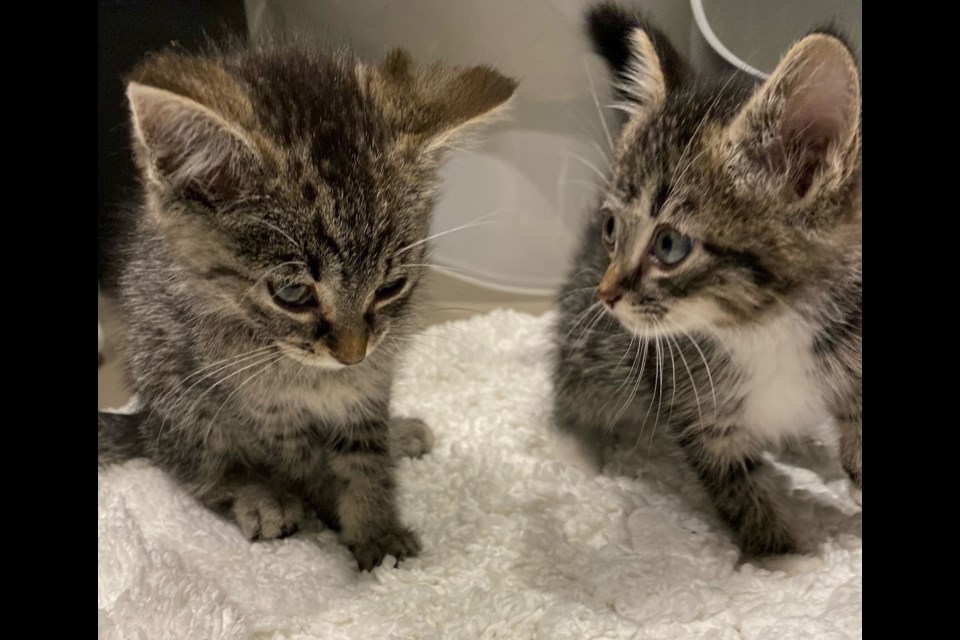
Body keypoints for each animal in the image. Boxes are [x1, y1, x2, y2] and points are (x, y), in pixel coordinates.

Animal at [98, 42, 516, 568]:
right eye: (293, 294)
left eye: (391, 286)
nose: (352, 353)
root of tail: (147, 420)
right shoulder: (261, 408)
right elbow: (307, 465)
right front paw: (342, 524)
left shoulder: (369, 384)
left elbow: (365, 456)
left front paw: (377, 530)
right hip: (179, 394)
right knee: (192, 468)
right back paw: (260, 496)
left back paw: (399, 433)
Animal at [556, 3, 864, 556]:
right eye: (614, 227)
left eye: (669, 246)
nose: (606, 294)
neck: (768, 324)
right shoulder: (694, 400)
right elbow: (733, 477)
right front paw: (782, 555)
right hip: (594, 343)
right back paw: (573, 450)